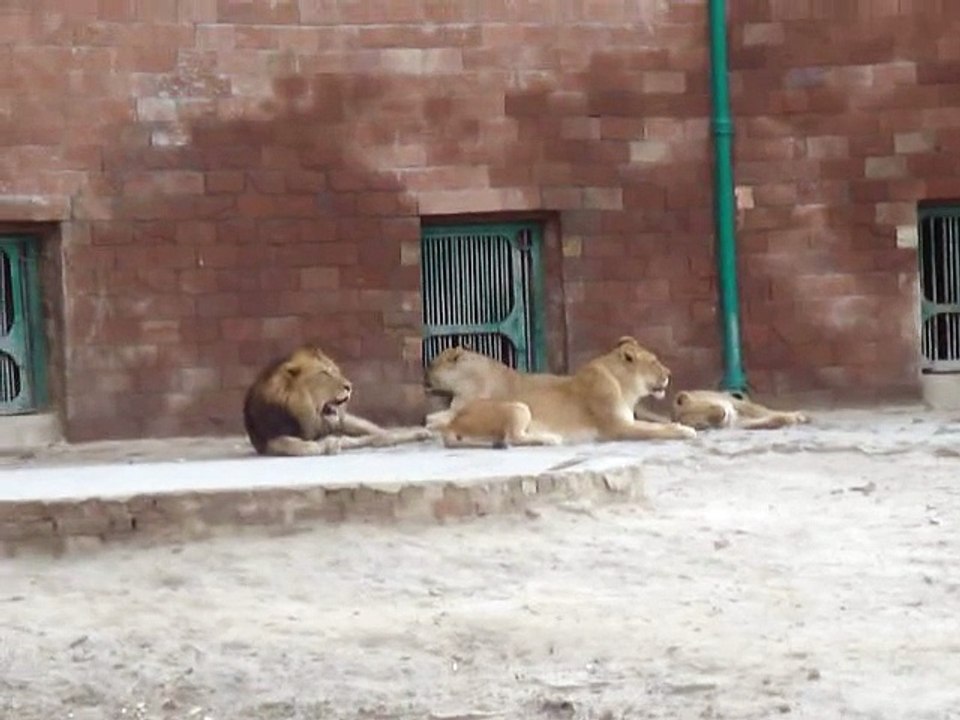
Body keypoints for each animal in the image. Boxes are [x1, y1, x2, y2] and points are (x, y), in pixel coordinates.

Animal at [243, 344, 434, 456]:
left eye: (335, 370)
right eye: (324, 373)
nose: (349, 386)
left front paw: (331, 444)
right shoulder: (266, 440)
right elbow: (293, 444)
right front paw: (319, 446)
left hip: (351, 422)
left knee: (381, 433)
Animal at [424, 336, 696, 447]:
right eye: (654, 362)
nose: (669, 373)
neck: (625, 387)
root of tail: (455, 423)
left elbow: (657, 425)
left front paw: (679, 425)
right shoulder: (617, 428)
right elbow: (656, 430)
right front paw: (684, 430)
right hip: (518, 406)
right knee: (512, 438)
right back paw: (550, 439)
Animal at [671, 389, 811, 431]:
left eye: (709, 406)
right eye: (702, 424)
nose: (722, 414)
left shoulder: (738, 403)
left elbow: (763, 411)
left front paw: (800, 415)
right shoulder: (737, 424)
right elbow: (764, 420)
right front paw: (787, 419)